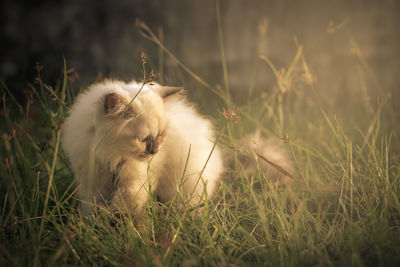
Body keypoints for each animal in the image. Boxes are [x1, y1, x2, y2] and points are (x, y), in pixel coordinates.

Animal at [63, 79, 225, 218]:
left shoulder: (132, 185)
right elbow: (91, 210)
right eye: (142, 139)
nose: (154, 151)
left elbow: (124, 213)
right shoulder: (92, 183)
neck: (112, 157)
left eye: (160, 135)